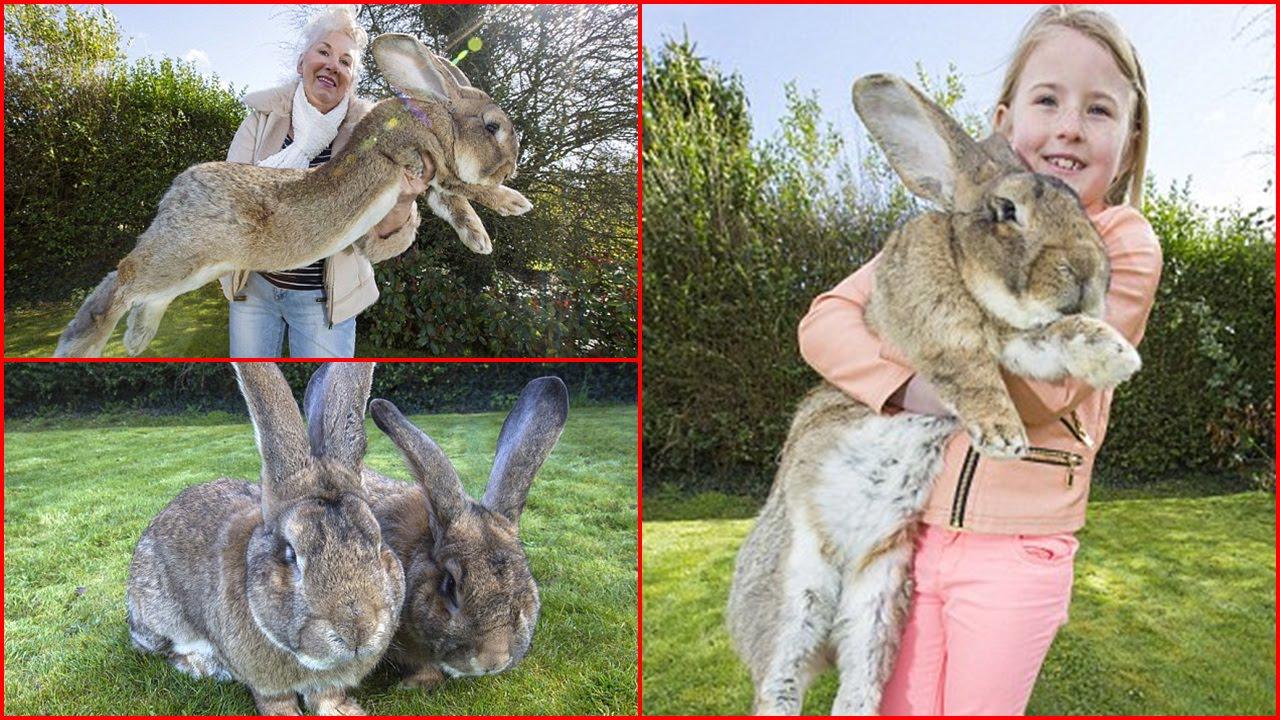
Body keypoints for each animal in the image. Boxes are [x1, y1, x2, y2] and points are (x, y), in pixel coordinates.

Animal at [54, 32, 532, 358]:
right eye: (492, 127)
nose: (513, 164)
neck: (435, 117)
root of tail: (176, 192)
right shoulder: (422, 158)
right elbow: (466, 186)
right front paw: (513, 203)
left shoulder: (429, 181)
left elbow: (453, 204)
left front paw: (479, 240)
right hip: (182, 254)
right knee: (123, 279)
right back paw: (83, 344)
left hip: (196, 267)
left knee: (147, 294)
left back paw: (137, 339)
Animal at [126, 362, 405, 716]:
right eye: (291, 554)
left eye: (378, 541)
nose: (357, 630)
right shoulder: (266, 684)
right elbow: (275, 701)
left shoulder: (328, 683)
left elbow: (328, 695)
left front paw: (345, 712)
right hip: (159, 617)